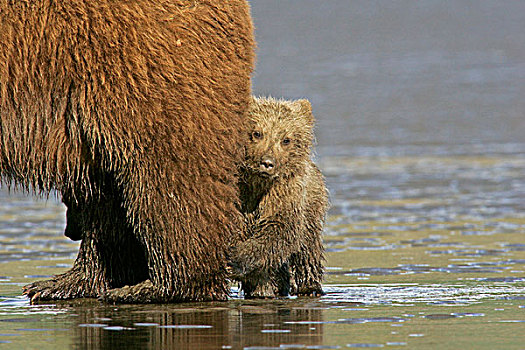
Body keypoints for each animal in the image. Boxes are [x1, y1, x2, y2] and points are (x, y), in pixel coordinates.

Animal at [228, 96, 328, 298]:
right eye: (257, 133)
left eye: (286, 139)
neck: (257, 183)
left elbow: (279, 229)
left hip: (312, 207)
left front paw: (236, 259)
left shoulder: (285, 192)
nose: (267, 162)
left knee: (307, 250)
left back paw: (309, 287)